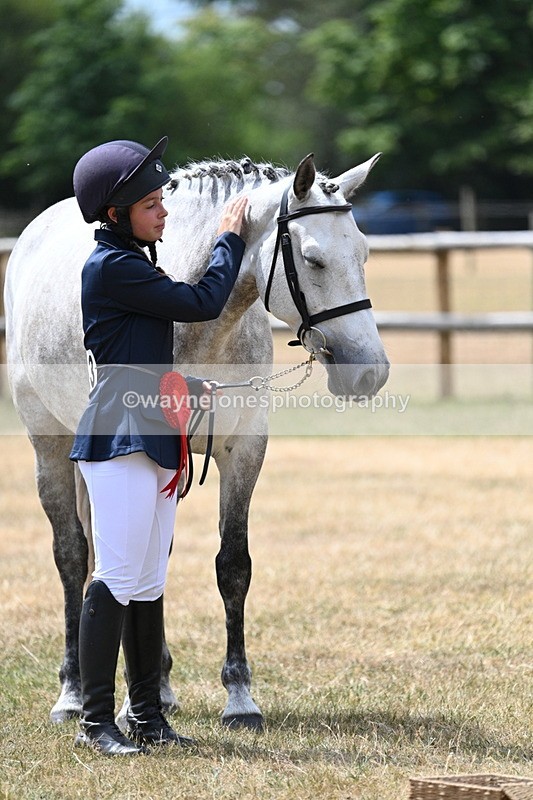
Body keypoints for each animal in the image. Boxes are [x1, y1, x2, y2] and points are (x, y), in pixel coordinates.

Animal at [4, 152, 389, 731]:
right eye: (314, 260)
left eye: (364, 253)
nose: (370, 373)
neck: (199, 320)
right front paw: (134, 703)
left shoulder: (244, 451)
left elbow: (233, 566)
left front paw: (240, 700)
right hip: (49, 446)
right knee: (73, 556)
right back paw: (73, 693)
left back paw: (158, 689)